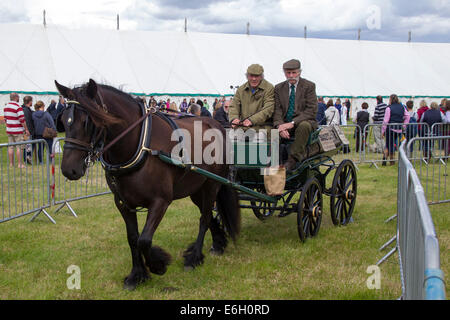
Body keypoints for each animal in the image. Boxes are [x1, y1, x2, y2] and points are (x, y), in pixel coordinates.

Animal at [54, 80, 241, 290]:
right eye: (63, 120)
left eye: (88, 121)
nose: (69, 170)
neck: (140, 145)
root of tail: (218, 125)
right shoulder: (123, 203)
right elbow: (133, 238)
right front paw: (137, 274)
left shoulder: (161, 201)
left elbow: (144, 239)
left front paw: (158, 265)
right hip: (196, 190)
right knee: (207, 215)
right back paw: (217, 244)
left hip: (211, 185)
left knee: (205, 218)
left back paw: (194, 258)